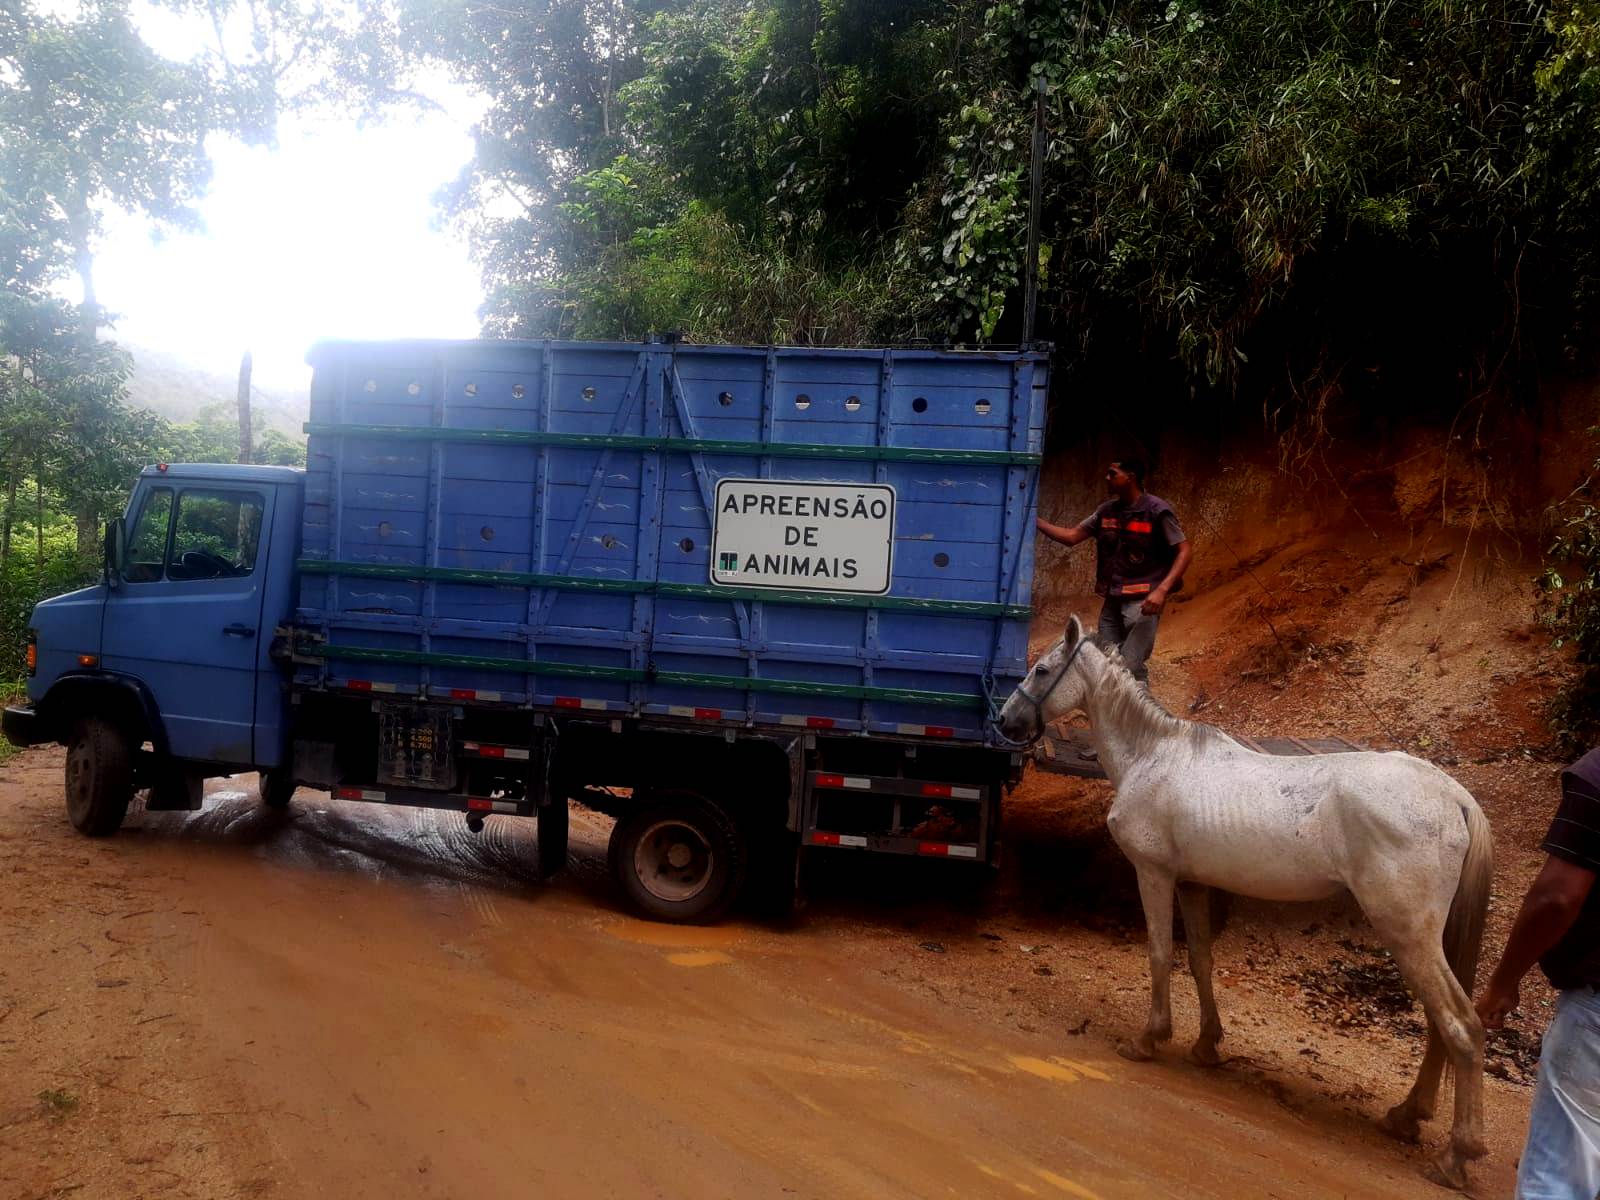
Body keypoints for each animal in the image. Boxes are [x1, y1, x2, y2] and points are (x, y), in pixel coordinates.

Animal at [998, 620, 1497, 1196]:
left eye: (1041, 670)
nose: (1005, 719)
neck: (1154, 757)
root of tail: (1453, 795)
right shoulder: (1193, 885)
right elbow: (1200, 961)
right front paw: (1206, 1044)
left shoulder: (1155, 875)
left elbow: (1160, 955)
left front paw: (1149, 1038)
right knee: (1442, 1027)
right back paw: (1407, 1116)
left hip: (1408, 936)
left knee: (1460, 1026)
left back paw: (1457, 1157)